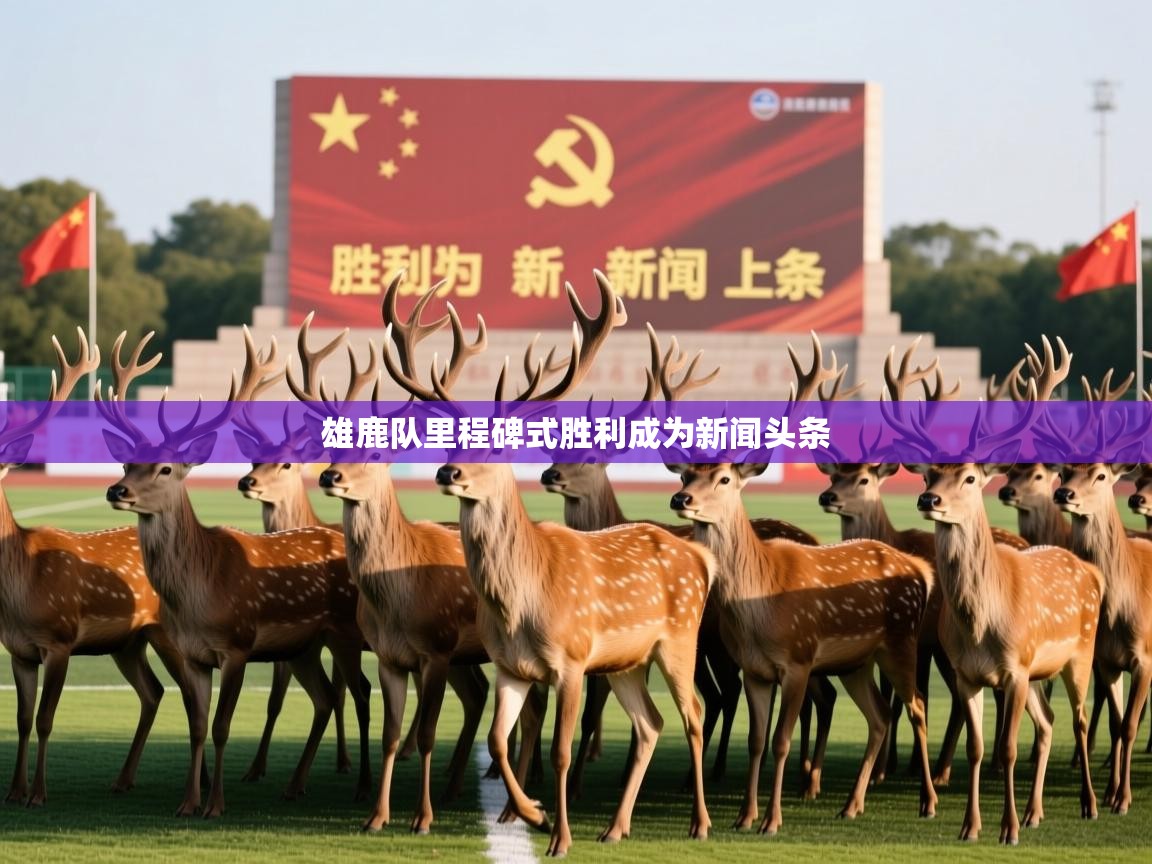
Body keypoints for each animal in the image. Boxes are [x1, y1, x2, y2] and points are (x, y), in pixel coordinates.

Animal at [0, 329, 190, 807]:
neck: (19, 589)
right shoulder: (17, 650)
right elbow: (21, 720)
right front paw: (13, 791)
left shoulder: (60, 638)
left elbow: (46, 718)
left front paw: (37, 794)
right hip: (127, 642)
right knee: (152, 692)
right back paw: (123, 779)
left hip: (165, 630)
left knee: (188, 691)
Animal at [99, 330, 373, 818]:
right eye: (127, 463)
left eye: (165, 467)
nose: (118, 490)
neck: (198, 595)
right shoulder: (192, 653)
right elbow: (196, 724)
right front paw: (187, 802)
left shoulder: (238, 645)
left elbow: (222, 726)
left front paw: (215, 805)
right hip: (303, 645)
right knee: (325, 697)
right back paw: (293, 786)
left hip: (344, 631)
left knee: (359, 693)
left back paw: (361, 787)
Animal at [391, 272, 715, 856]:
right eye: (452, 441)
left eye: (497, 449)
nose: (448, 472)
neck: (521, 602)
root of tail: (700, 557)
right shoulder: (510, 667)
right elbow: (498, 741)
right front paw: (533, 814)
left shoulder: (572, 660)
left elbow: (560, 750)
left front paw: (559, 836)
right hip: (627, 661)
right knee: (651, 723)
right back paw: (615, 827)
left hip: (679, 638)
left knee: (693, 715)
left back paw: (699, 823)